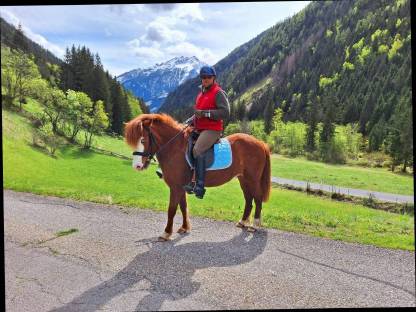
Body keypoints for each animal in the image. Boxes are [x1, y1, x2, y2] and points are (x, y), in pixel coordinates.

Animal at [123, 113, 272, 240]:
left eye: (143, 140)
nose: (136, 166)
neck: (175, 148)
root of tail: (260, 143)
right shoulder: (181, 187)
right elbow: (183, 207)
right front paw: (184, 228)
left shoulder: (176, 187)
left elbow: (171, 209)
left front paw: (166, 233)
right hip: (243, 179)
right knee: (248, 199)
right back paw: (243, 221)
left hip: (252, 179)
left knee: (257, 198)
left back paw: (254, 225)